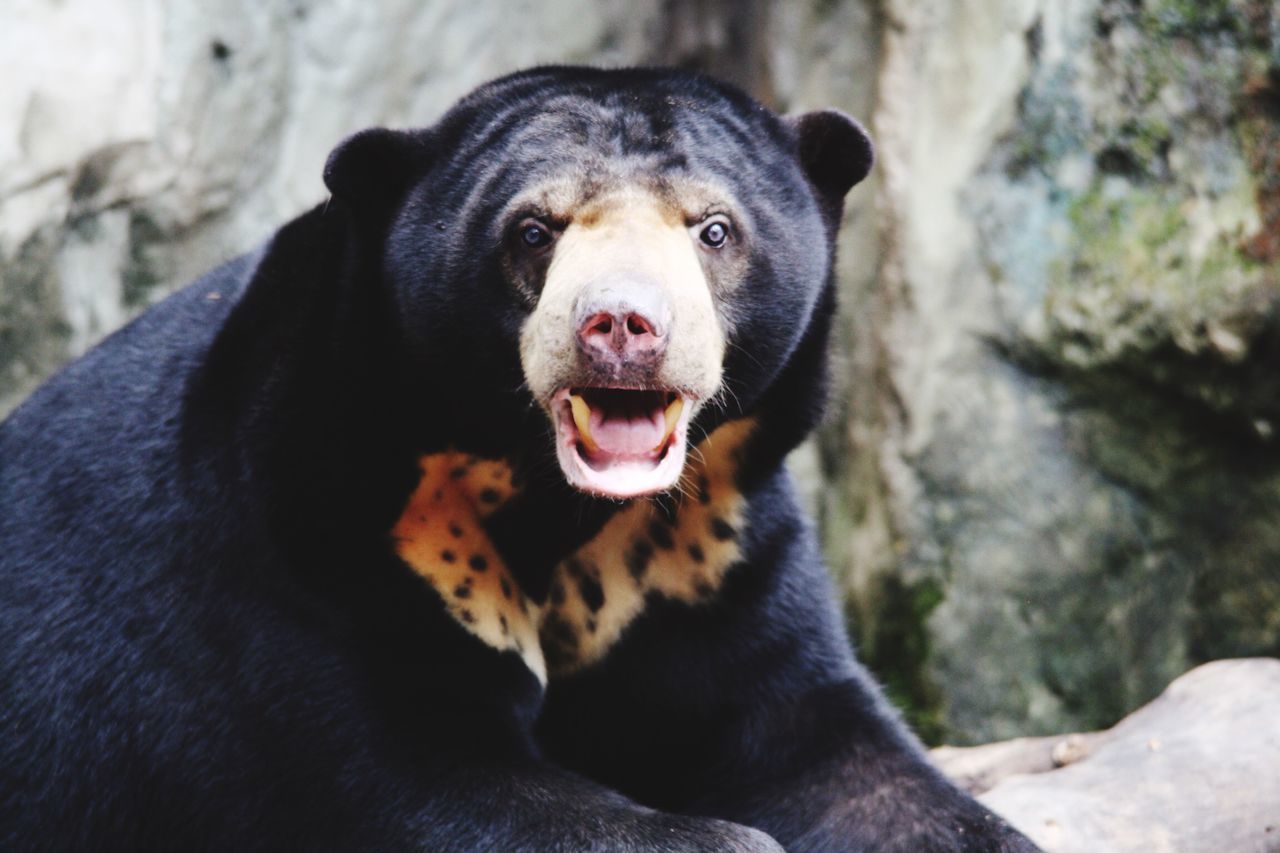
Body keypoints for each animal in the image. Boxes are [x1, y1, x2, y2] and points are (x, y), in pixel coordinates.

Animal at [0, 68, 1034, 850]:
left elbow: (821, 744)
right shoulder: (318, 535)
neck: (560, 498)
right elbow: (413, 774)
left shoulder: (714, 541)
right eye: (534, 231)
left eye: (714, 228)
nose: (622, 327)